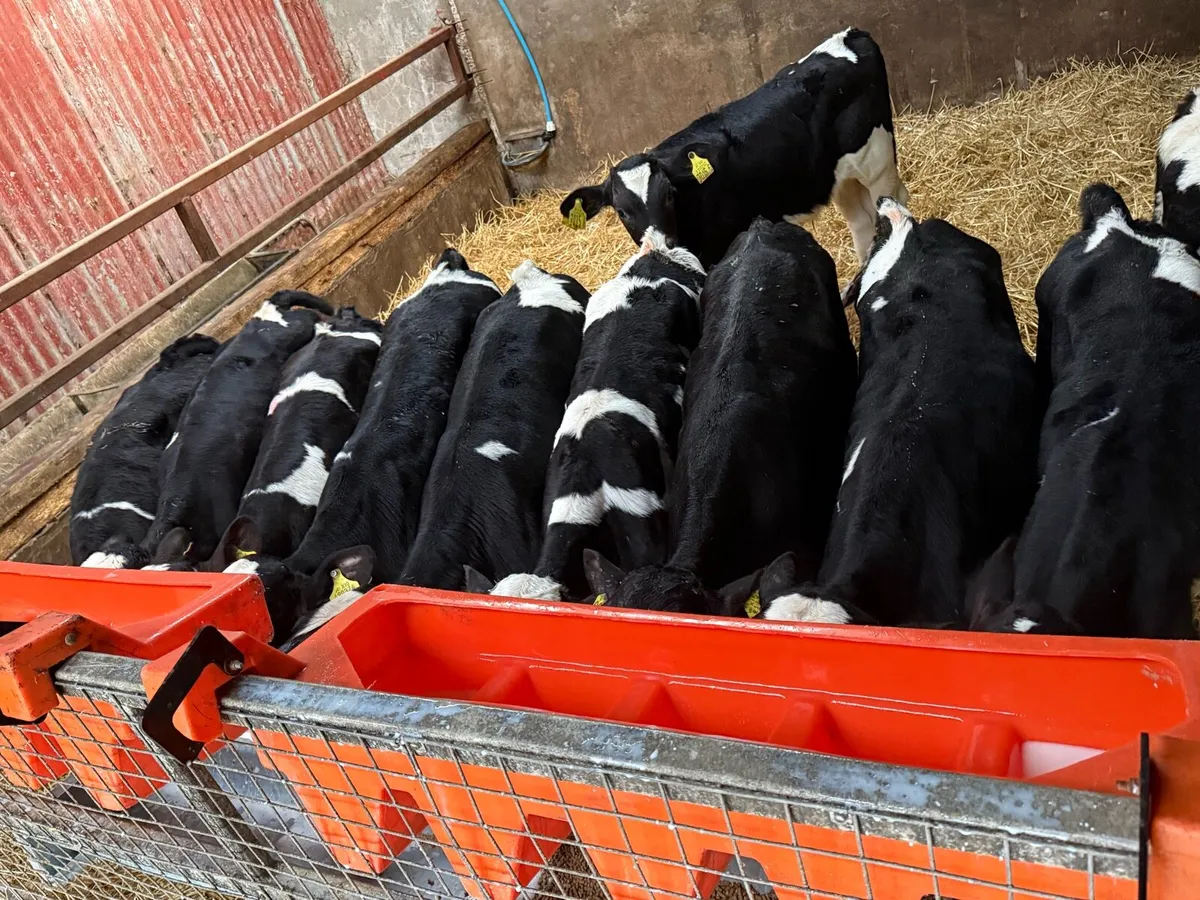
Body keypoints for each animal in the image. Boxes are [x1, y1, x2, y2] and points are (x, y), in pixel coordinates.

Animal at [560, 27, 907, 268]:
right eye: (621, 211)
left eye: (668, 195)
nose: (662, 244)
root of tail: (851, 34)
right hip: (839, 176)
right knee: (860, 221)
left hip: (877, 162)